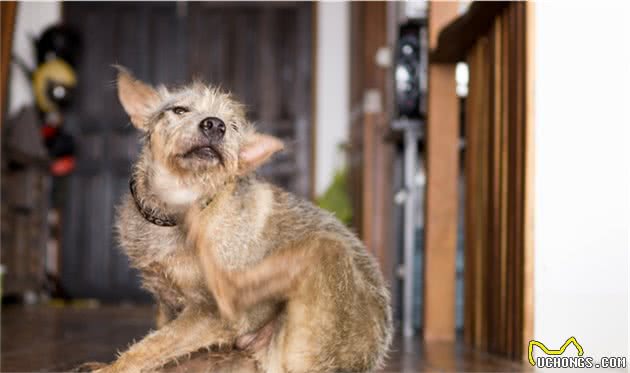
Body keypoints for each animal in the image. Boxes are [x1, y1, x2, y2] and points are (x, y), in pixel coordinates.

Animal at [91, 67, 392, 372]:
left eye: (233, 126)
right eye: (179, 109)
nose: (215, 124)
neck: (176, 208)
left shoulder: (208, 315)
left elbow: (153, 344)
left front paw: (112, 368)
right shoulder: (165, 303)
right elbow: (159, 342)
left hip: (325, 256)